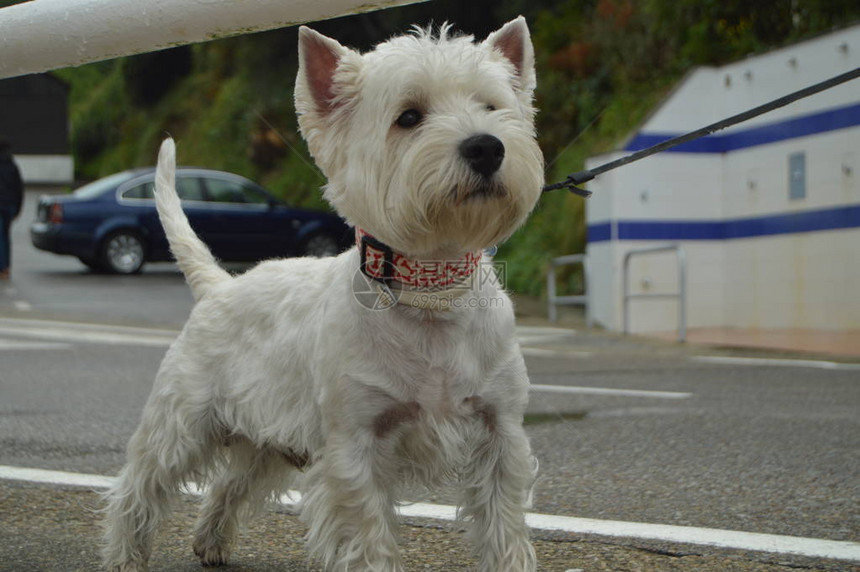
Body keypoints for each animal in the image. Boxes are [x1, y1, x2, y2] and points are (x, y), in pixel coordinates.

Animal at [102, 15, 544, 568]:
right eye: (409, 117)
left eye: (491, 106)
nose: (486, 147)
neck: (430, 292)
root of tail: (218, 284)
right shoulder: (355, 442)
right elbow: (367, 533)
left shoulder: (499, 431)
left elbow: (504, 524)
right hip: (183, 419)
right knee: (139, 484)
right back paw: (125, 555)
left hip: (268, 438)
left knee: (229, 483)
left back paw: (211, 544)